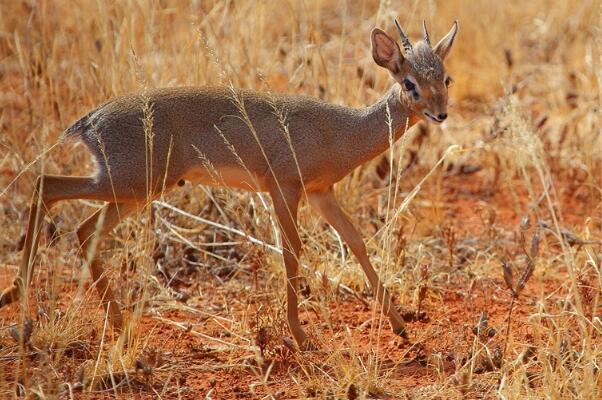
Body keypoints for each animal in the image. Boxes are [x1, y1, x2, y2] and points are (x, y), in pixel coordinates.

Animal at [2, 20, 458, 348]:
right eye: (409, 83)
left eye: (445, 79)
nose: (440, 115)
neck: (340, 130)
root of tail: (91, 121)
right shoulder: (284, 188)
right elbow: (291, 252)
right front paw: (300, 335)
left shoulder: (320, 193)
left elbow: (357, 242)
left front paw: (401, 326)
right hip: (130, 183)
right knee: (46, 186)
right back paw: (19, 299)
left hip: (132, 190)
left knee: (82, 228)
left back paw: (114, 323)